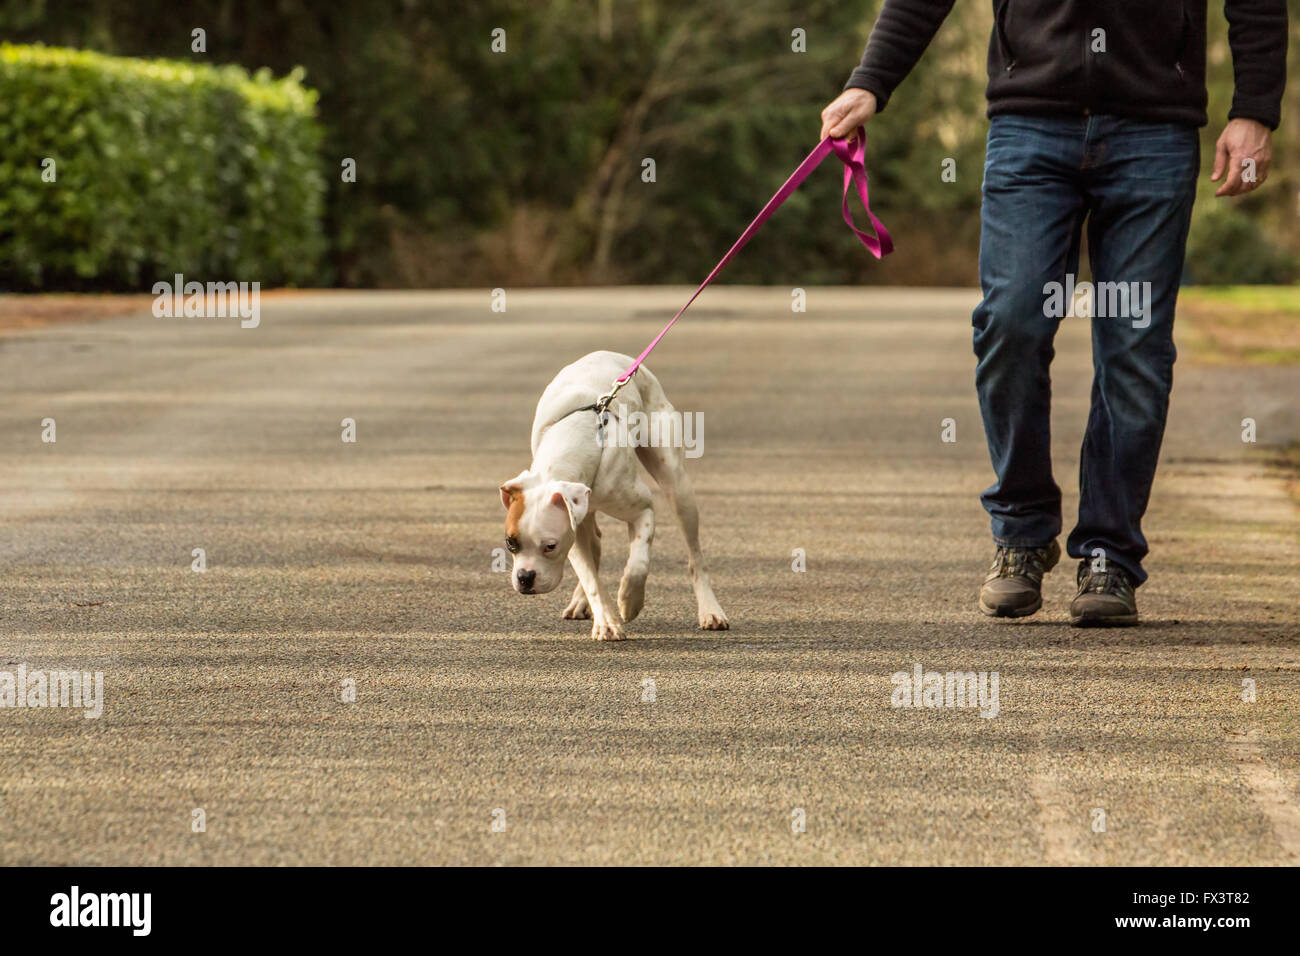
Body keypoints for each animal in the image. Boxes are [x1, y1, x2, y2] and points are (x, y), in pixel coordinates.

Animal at [496, 351, 728, 642]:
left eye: (550, 546)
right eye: (510, 543)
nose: (525, 578)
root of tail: (616, 355)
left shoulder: (643, 511)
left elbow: (638, 563)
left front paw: (629, 601)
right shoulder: (573, 533)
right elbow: (590, 578)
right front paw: (606, 621)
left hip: (678, 486)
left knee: (694, 556)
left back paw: (710, 610)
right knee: (594, 550)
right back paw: (580, 602)